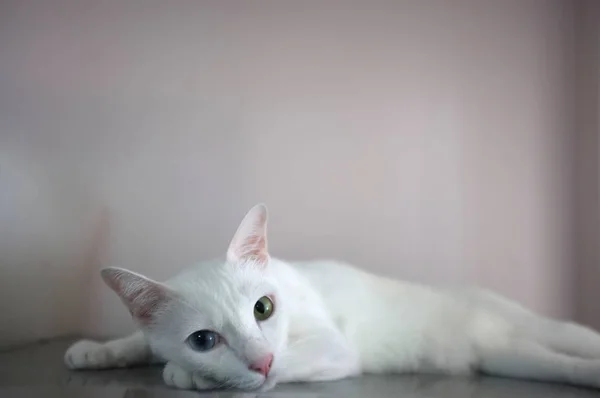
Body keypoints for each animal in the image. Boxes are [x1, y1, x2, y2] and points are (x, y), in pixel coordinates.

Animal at [65, 204, 600, 390]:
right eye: (203, 339)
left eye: (263, 308)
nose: (259, 360)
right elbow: (140, 339)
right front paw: (96, 351)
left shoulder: (334, 350)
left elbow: (287, 363)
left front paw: (188, 376)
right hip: (508, 355)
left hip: (523, 337)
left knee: (574, 342)